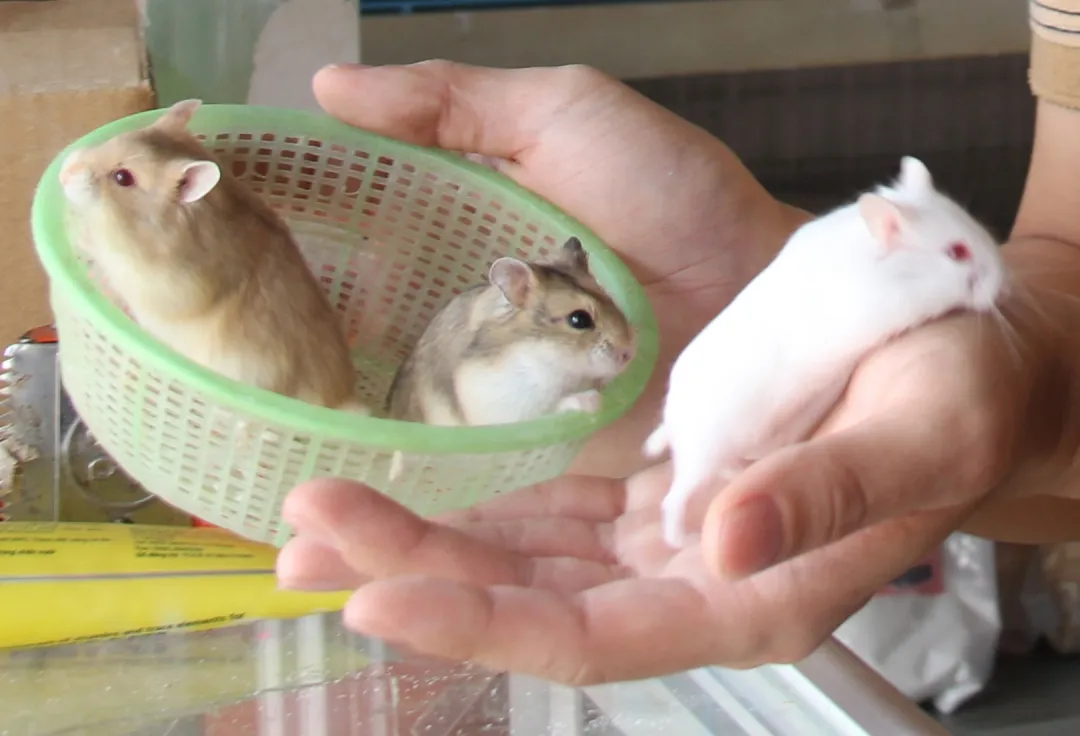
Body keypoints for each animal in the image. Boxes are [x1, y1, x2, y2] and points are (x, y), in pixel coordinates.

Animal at [57, 99, 369, 415]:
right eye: (115, 139)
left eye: (122, 177)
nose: (62, 173)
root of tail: (341, 403)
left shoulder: (152, 280)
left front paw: (80, 234)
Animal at [384, 236, 636, 480]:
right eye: (579, 319)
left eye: (610, 300)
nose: (629, 354)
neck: (556, 357)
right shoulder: (511, 403)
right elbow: (554, 407)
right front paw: (593, 401)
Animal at [645, 156, 1008, 549]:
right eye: (958, 252)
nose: (1004, 284)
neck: (889, 270)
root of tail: (672, 423)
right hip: (704, 453)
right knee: (673, 500)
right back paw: (686, 540)